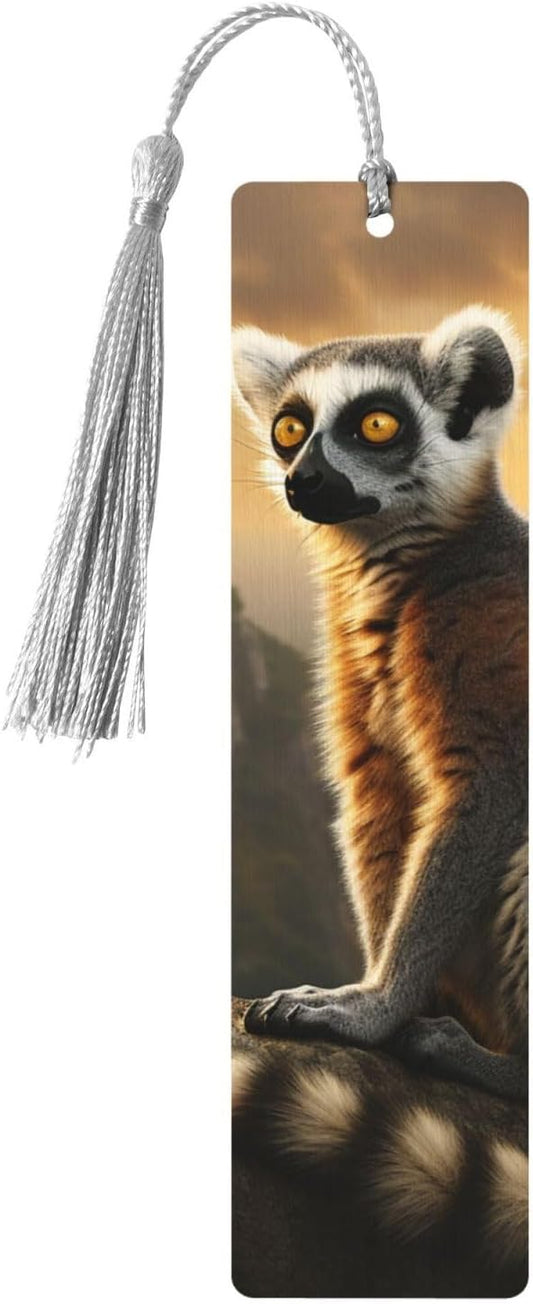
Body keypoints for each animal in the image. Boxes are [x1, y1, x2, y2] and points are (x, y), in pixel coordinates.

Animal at [232, 304, 527, 1107]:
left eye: (375, 425)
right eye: (290, 427)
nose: (302, 479)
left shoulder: (493, 626)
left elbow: (492, 785)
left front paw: (374, 1009)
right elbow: (379, 794)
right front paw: (375, 998)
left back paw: (504, 1068)